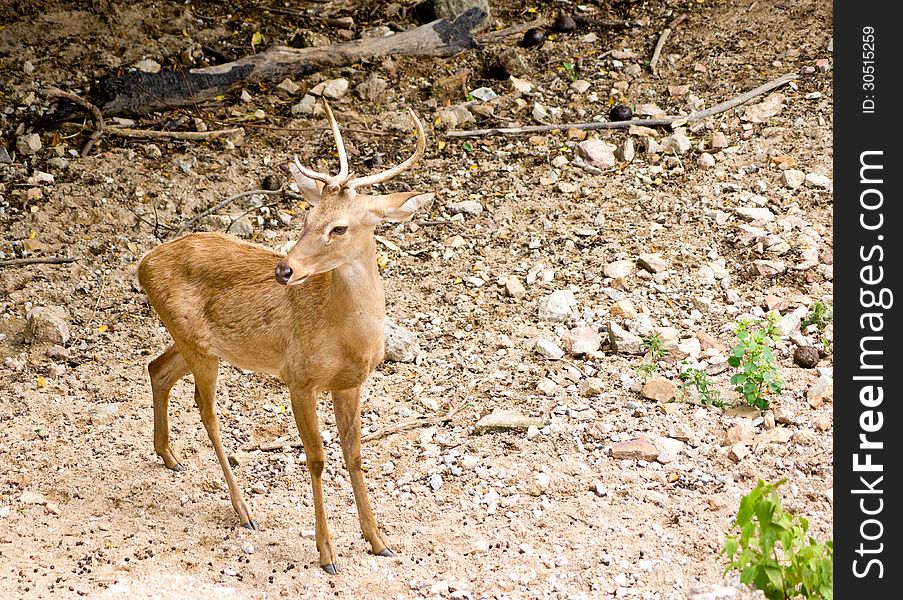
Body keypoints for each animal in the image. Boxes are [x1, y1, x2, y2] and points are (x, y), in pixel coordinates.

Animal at [138, 101, 434, 576]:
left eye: (339, 228)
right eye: (307, 216)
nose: (284, 270)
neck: (345, 337)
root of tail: (143, 264)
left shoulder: (350, 384)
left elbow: (354, 454)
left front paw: (378, 541)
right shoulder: (299, 378)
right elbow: (316, 458)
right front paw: (327, 554)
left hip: (198, 343)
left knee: (157, 368)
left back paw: (169, 455)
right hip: (198, 346)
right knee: (206, 409)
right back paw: (243, 510)